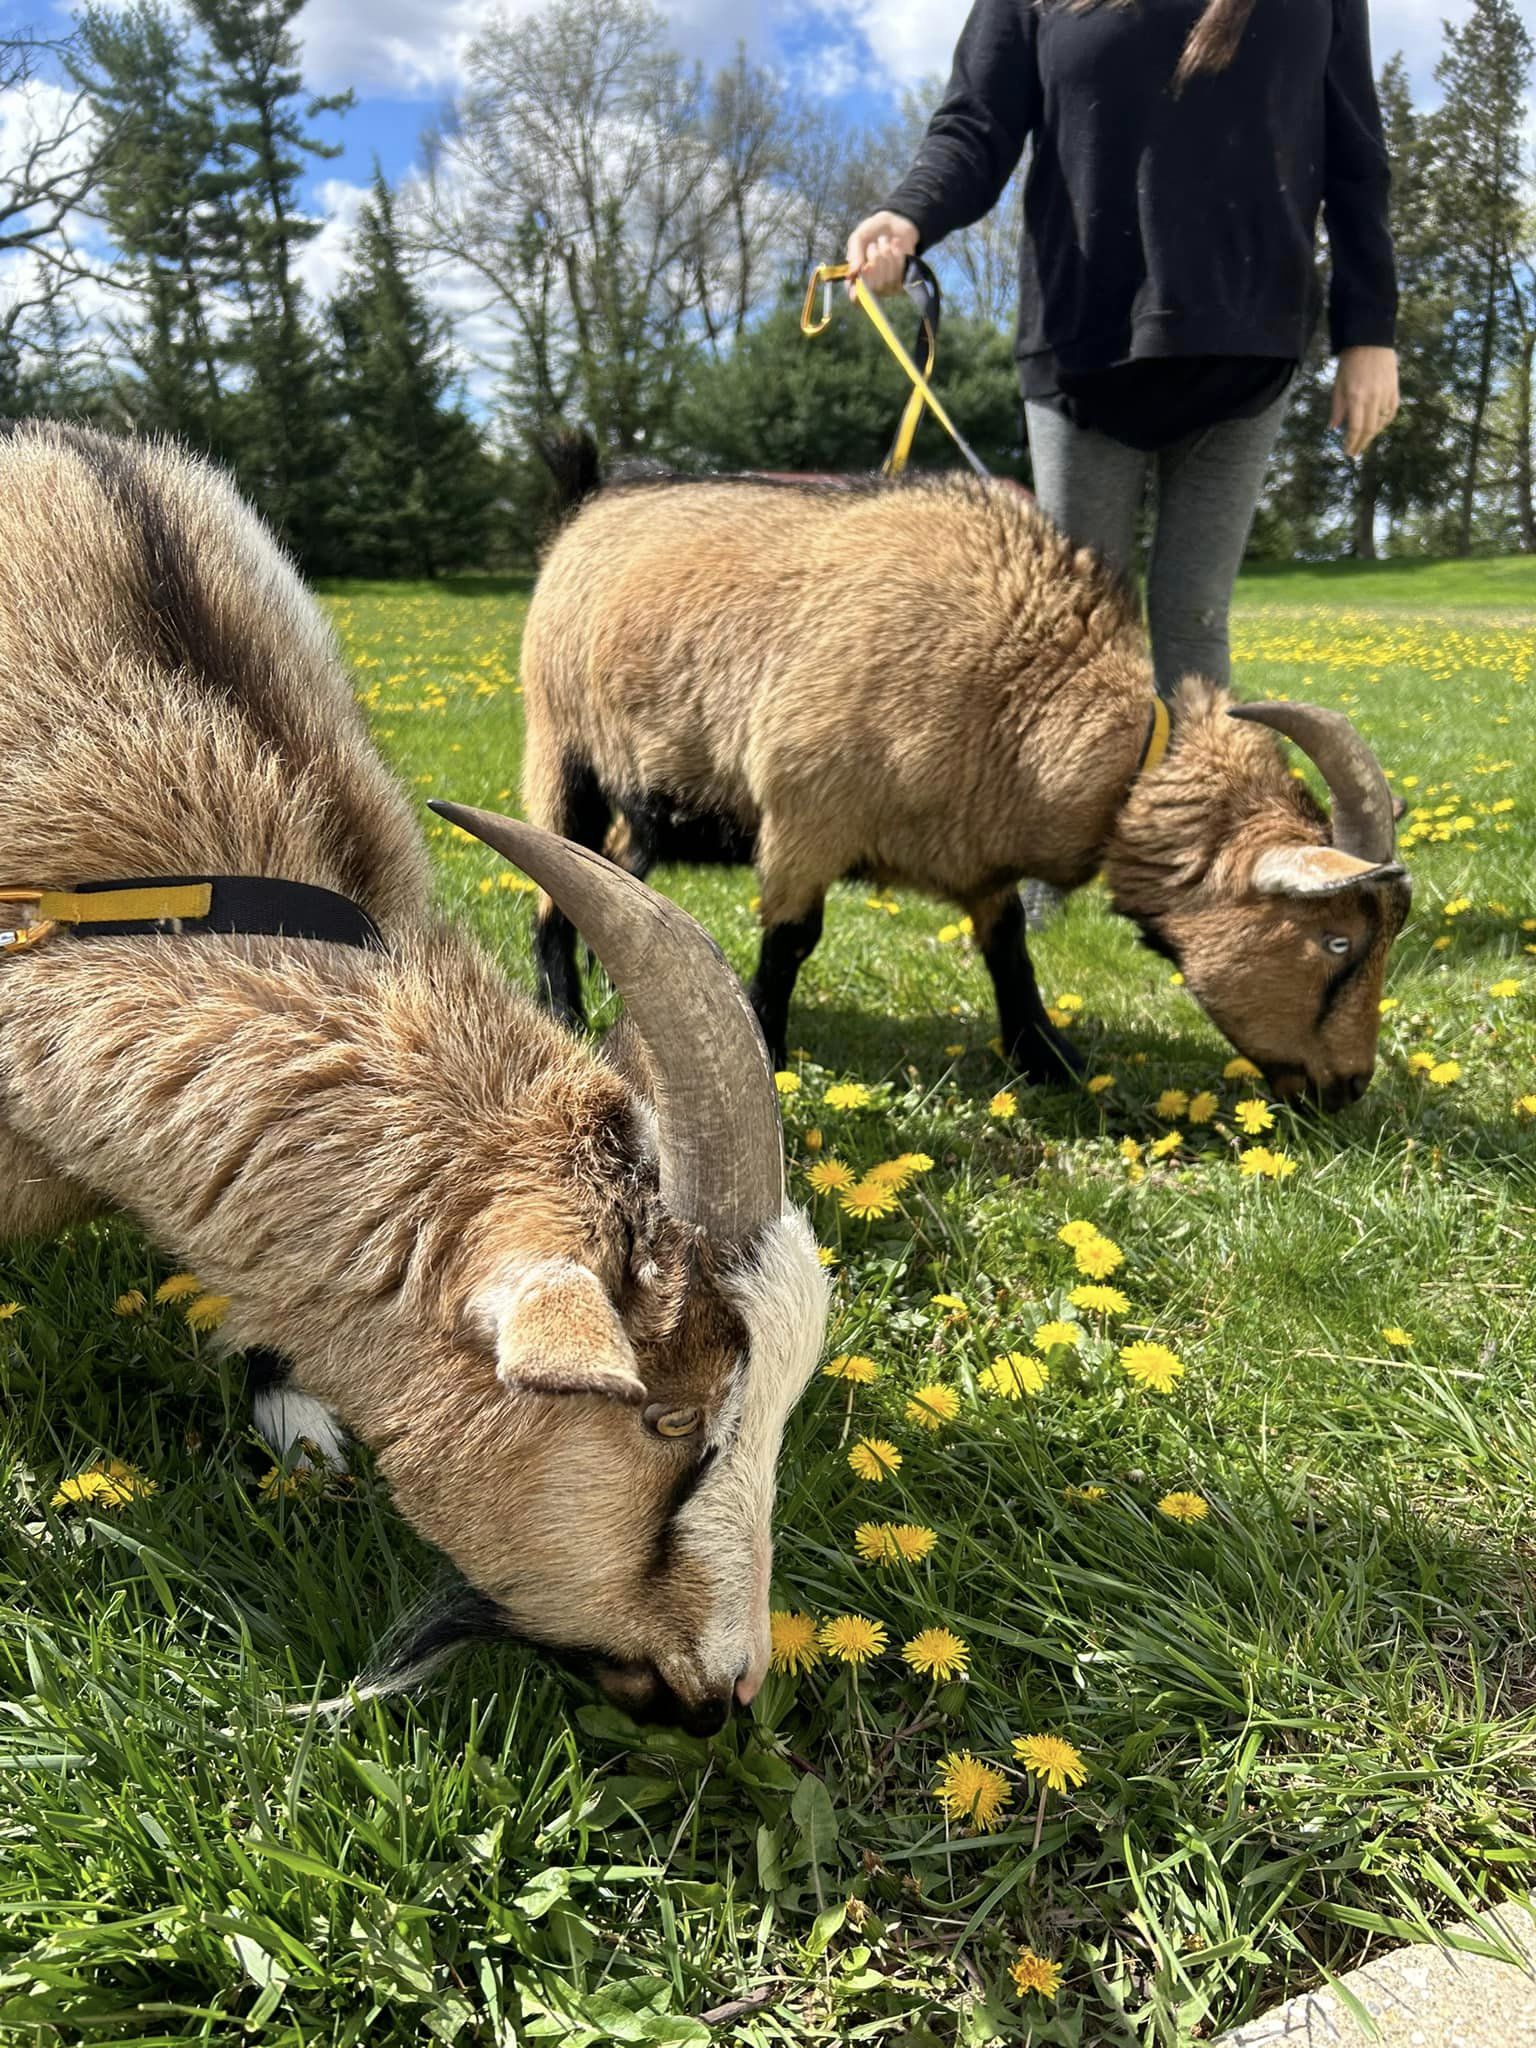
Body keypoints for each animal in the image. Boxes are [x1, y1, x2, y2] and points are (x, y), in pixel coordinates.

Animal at [524, 471, 1417, 1114]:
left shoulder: (978, 851)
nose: (1350, 1087)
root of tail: (595, 501)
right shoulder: (806, 812)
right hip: (557, 743)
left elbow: (1009, 946)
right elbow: (791, 943)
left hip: (649, 796)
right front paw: (766, 1058)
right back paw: (564, 1011)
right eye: (1338, 941)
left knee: (613, 866)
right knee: (551, 876)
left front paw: (1047, 1057)